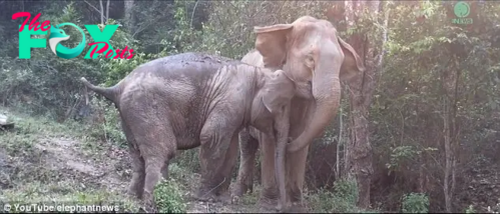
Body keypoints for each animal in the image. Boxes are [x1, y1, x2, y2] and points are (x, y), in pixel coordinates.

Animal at [80, 52, 302, 211]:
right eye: (282, 107)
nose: (281, 207)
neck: (258, 73)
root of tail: (118, 86)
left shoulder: (235, 111)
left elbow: (230, 148)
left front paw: (221, 199)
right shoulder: (231, 100)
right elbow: (212, 138)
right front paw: (205, 198)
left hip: (129, 114)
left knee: (137, 153)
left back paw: (134, 197)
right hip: (144, 107)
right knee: (163, 151)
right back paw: (155, 201)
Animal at [232, 16, 366, 211]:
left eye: (341, 64)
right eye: (310, 59)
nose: (287, 141)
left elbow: (302, 136)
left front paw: (296, 206)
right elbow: (269, 141)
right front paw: (269, 204)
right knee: (247, 145)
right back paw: (238, 195)